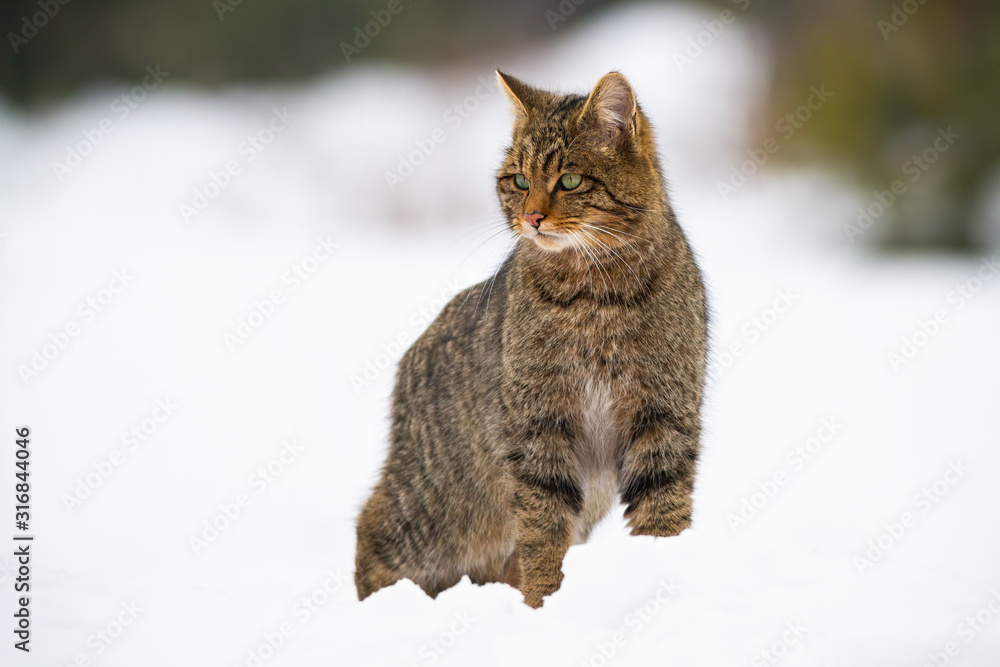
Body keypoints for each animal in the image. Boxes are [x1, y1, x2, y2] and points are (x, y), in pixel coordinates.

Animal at [356, 70, 708, 608]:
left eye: (570, 180)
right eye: (519, 180)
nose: (532, 217)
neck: (592, 296)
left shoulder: (664, 416)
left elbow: (662, 513)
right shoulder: (539, 427)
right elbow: (543, 531)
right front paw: (545, 605)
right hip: (436, 505)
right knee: (371, 527)